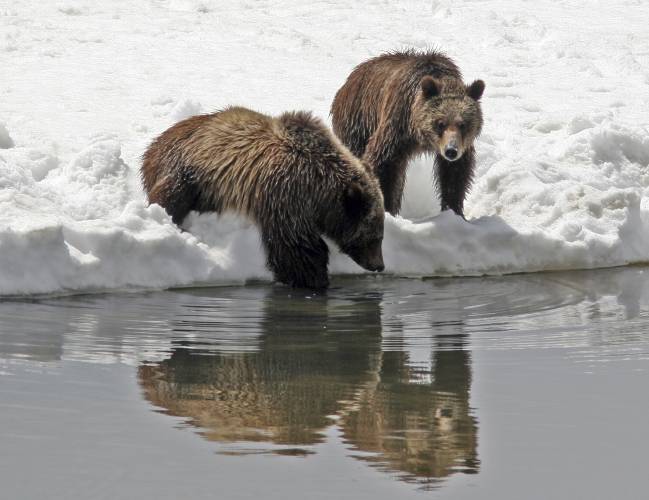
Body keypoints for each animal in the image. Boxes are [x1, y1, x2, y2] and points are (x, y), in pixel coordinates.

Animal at [140, 107, 384, 292]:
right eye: (375, 237)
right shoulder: (286, 196)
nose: (379, 265)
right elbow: (296, 247)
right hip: (187, 168)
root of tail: (154, 143)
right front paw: (314, 280)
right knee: (172, 196)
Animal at [332, 49, 484, 219]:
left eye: (463, 124)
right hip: (357, 122)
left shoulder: (461, 147)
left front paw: (454, 211)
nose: (451, 151)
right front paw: (386, 209)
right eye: (440, 123)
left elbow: (455, 174)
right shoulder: (397, 125)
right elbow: (383, 163)